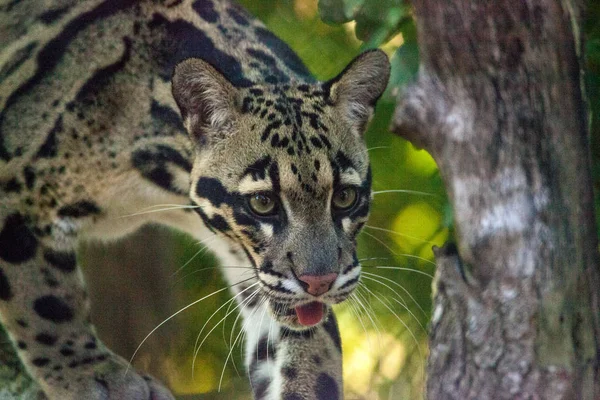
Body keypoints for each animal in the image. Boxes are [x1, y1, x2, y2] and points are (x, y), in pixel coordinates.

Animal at [0, 1, 392, 398]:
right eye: (263, 203)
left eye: (345, 197)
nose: (320, 283)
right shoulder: (15, 195)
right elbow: (46, 304)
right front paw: (95, 376)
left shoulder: (257, 274)